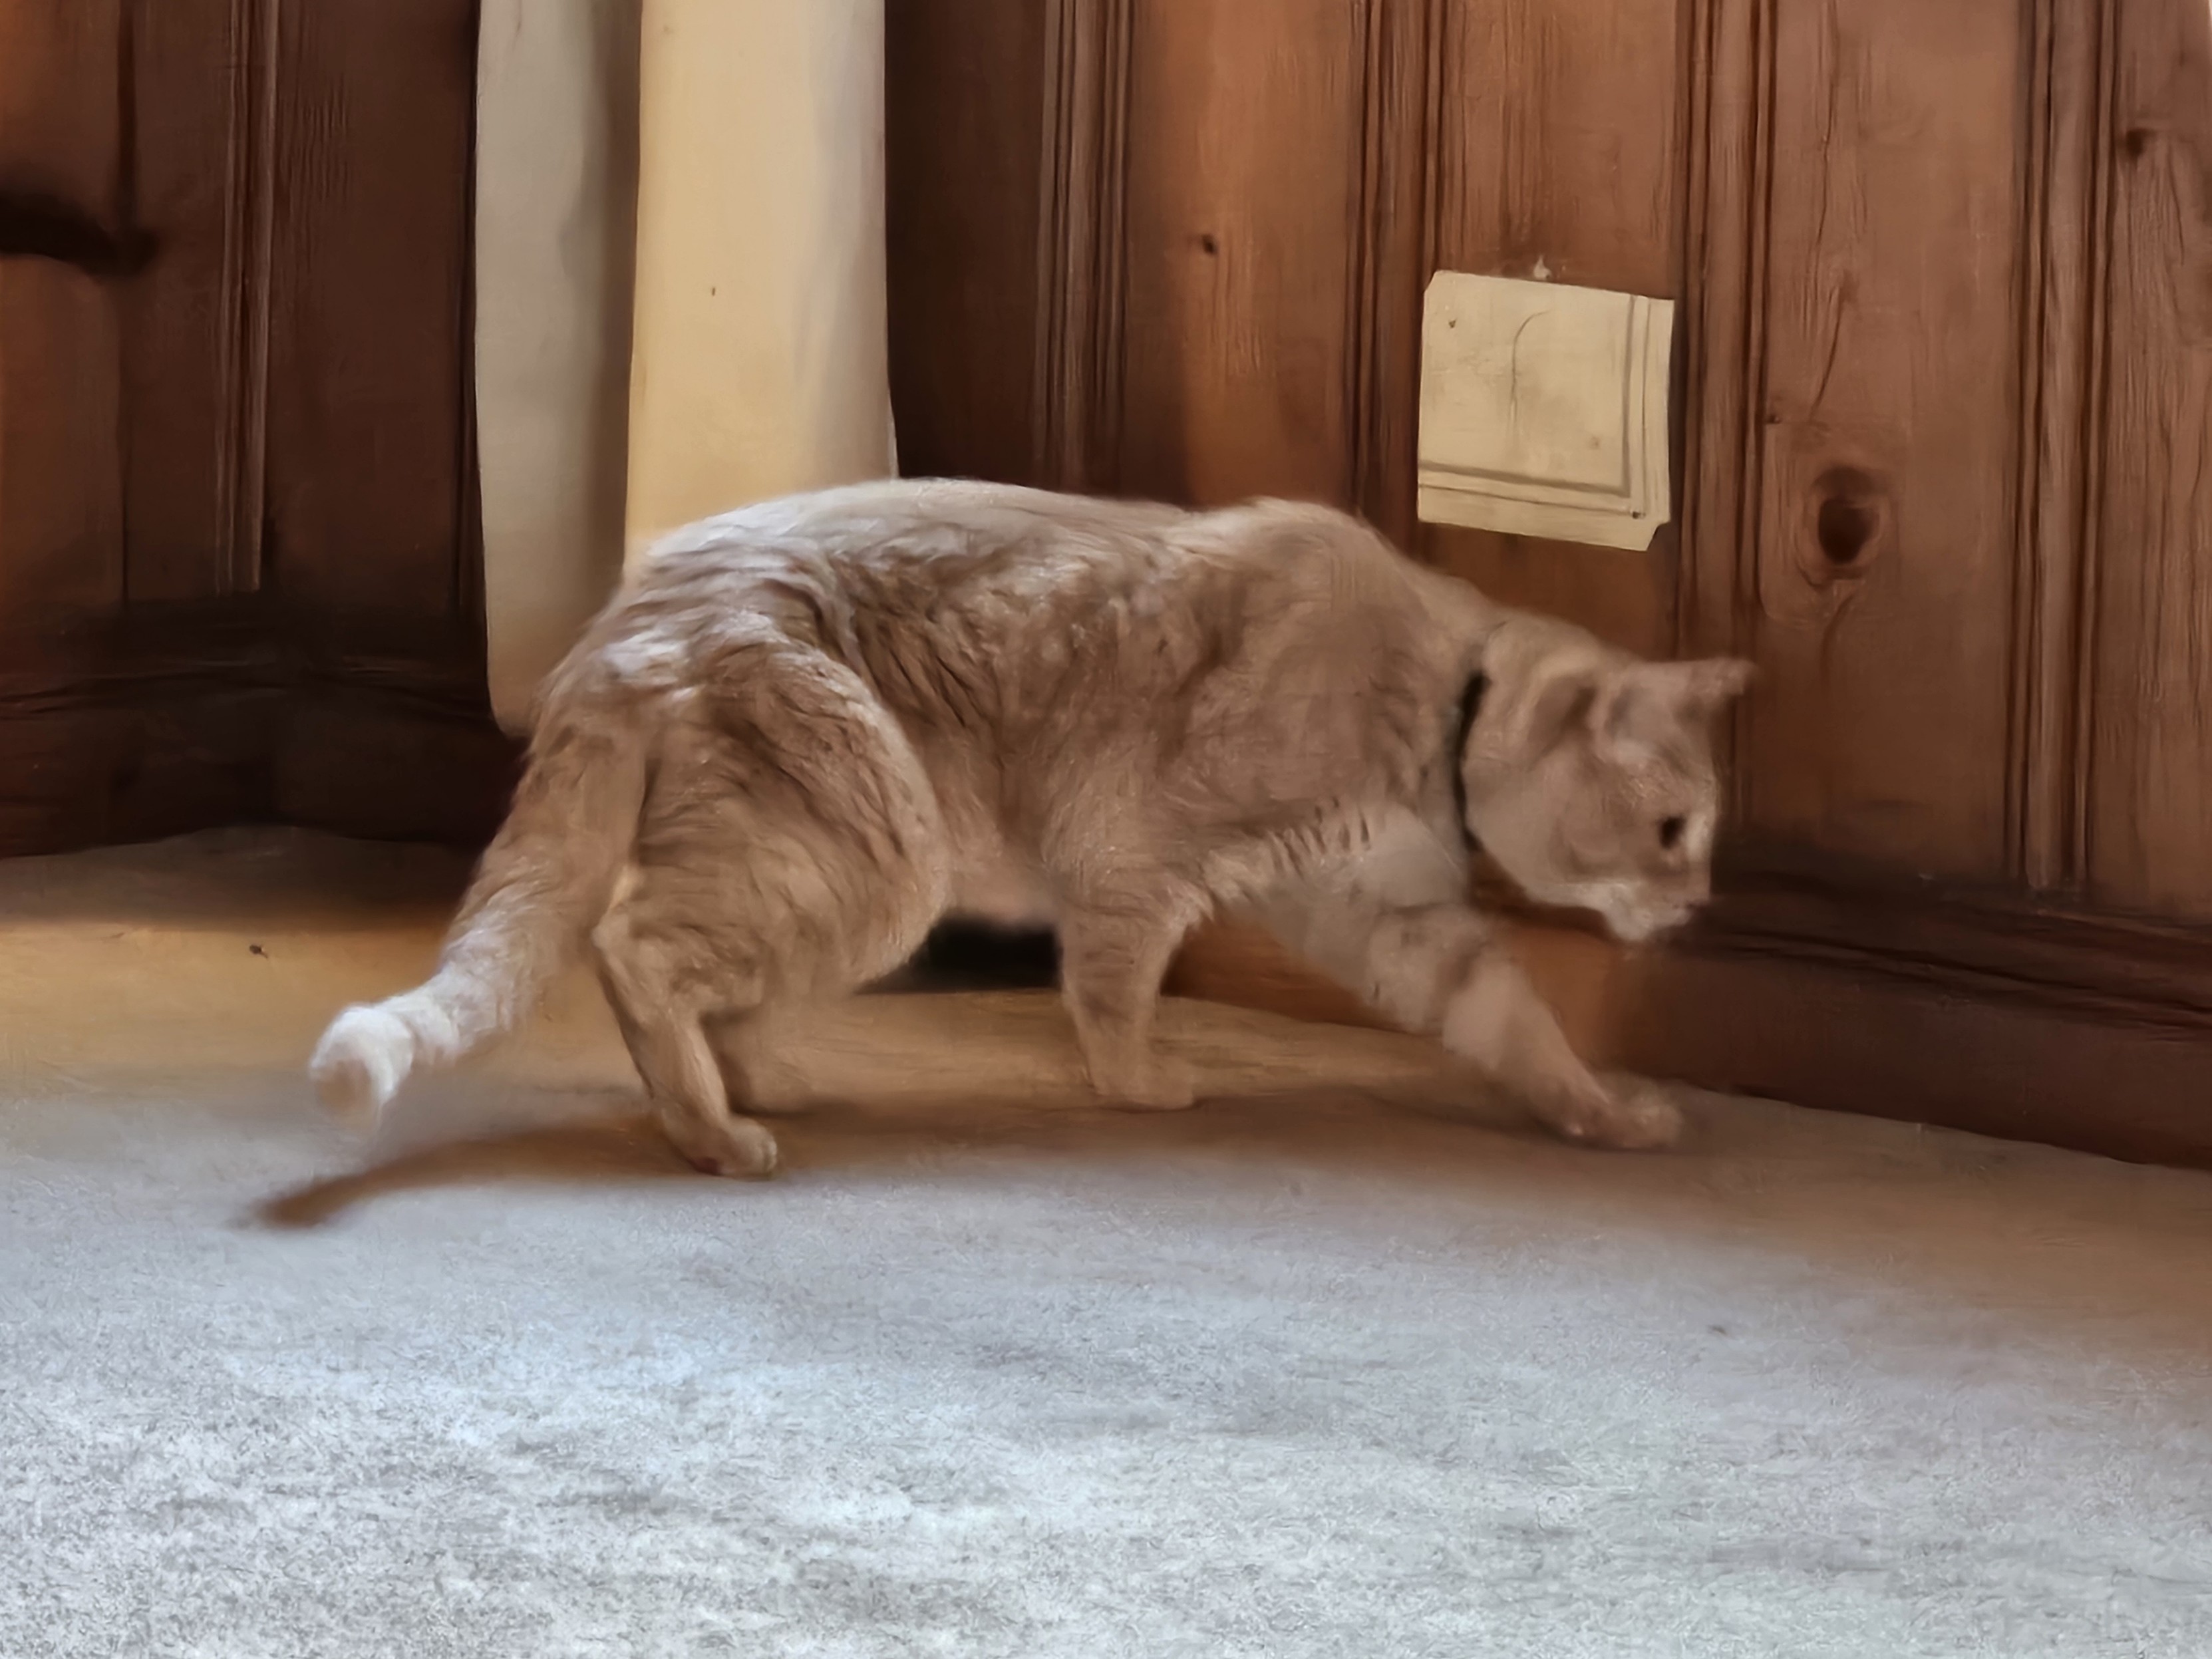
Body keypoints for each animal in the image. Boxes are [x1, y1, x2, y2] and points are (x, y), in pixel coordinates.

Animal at [311, 480, 1752, 1185]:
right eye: (1674, 828)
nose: (1700, 908)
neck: (1439, 704)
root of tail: (620, 619)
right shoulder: (1137, 862)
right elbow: (1113, 996)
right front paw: (1144, 1084)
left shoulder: (1401, 923)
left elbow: (1521, 1026)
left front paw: (1607, 1117)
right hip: (884, 860)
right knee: (635, 951)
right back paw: (711, 1131)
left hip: (848, 871)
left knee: (705, 976)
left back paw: (752, 1084)